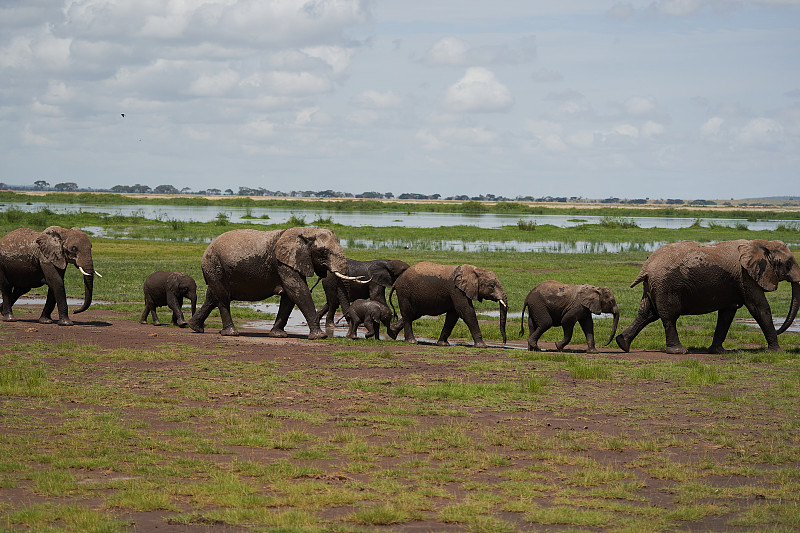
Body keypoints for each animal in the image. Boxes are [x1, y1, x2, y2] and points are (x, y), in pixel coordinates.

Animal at [188, 225, 362, 336]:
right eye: (324, 252)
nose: (348, 329)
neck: (308, 231)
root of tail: (208, 247)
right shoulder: (282, 263)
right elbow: (298, 291)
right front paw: (319, 336)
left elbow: (289, 296)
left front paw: (278, 335)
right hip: (214, 264)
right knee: (223, 297)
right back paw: (231, 333)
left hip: (215, 268)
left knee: (213, 296)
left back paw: (195, 328)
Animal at [616, 238, 796, 354]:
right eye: (788, 264)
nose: (780, 331)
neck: (761, 243)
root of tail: (646, 266)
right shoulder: (746, 277)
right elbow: (760, 308)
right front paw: (778, 352)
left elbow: (727, 314)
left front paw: (718, 352)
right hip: (666, 285)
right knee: (669, 317)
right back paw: (679, 351)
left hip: (654, 285)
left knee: (647, 314)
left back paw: (622, 344)